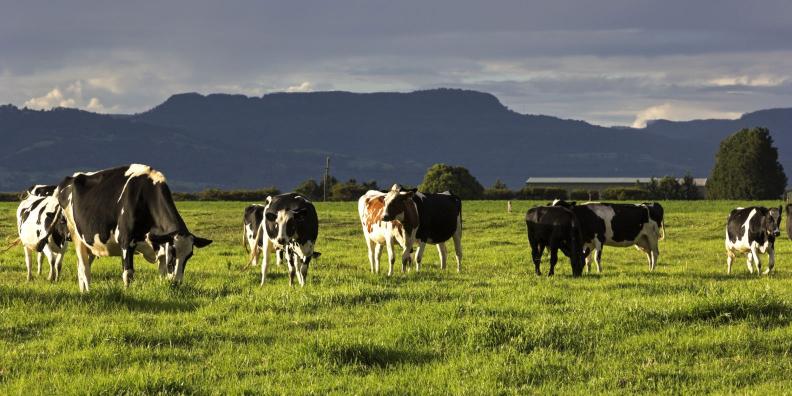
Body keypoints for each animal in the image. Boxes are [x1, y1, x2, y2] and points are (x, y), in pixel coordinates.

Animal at [44, 163, 212, 290]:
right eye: (173, 252)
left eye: (189, 256)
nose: (177, 283)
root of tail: (70, 179)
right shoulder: (126, 241)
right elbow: (128, 273)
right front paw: (127, 292)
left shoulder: (161, 247)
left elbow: (162, 274)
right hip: (76, 235)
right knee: (84, 268)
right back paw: (88, 292)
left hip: (90, 243)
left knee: (81, 267)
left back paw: (83, 291)